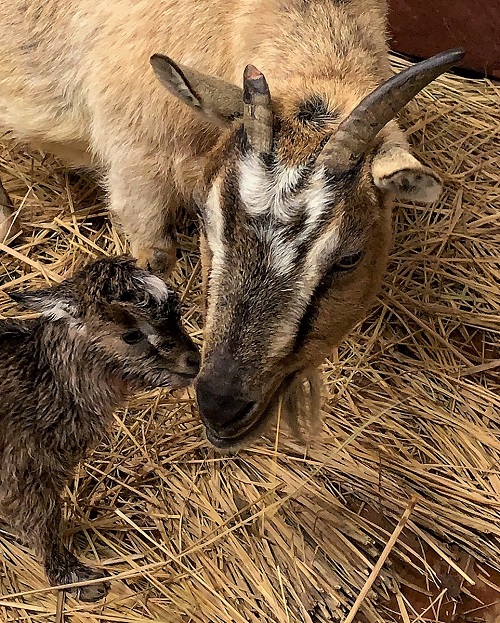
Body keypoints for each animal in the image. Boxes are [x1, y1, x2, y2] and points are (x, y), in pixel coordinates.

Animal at [0, 256, 199, 604]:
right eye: (131, 335)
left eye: (177, 312)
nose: (193, 360)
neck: (45, 382)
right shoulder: (22, 470)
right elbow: (42, 521)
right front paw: (76, 577)